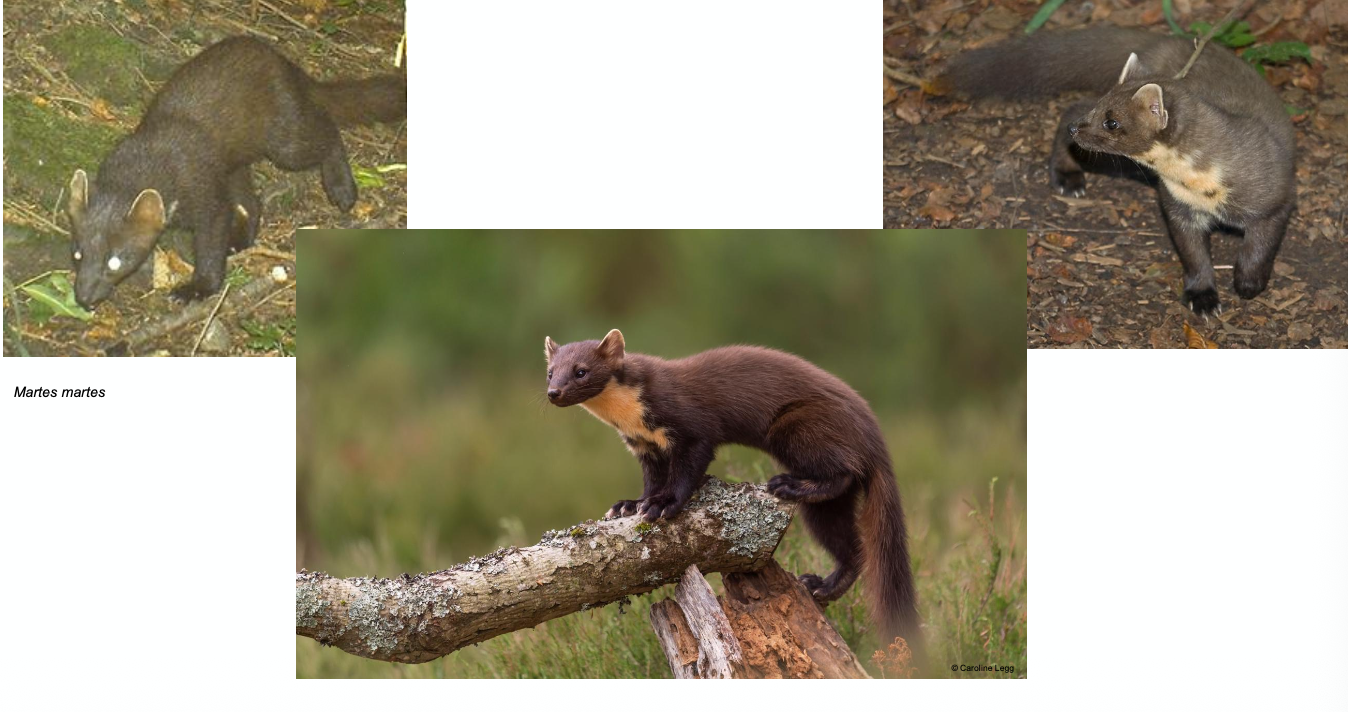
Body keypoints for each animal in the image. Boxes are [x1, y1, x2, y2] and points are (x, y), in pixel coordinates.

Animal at [67, 36, 405, 309]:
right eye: (78, 253)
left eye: (116, 259)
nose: (83, 297)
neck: (151, 153)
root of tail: (286, 64)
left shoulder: (204, 191)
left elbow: (212, 238)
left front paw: (194, 290)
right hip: (234, 164)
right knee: (252, 202)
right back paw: (238, 240)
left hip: (285, 140)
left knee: (328, 132)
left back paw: (342, 189)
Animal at [545, 329, 921, 653]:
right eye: (550, 372)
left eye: (581, 371)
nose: (554, 393)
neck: (631, 419)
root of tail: (874, 434)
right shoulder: (645, 447)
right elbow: (652, 480)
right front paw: (630, 504)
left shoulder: (692, 428)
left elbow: (687, 471)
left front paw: (663, 504)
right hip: (827, 509)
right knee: (851, 546)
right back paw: (822, 584)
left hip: (796, 425)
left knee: (842, 471)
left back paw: (788, 484)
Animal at [929, 24, 1296, 315]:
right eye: (1101, 106)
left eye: (1112, 121)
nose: (1078, 128)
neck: (1200, 187)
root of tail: (1165, 40)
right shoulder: (1176, 206)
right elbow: (1194, 257)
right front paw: (1203, 298)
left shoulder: (1275, 198)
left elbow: (1259, 247)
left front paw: (1248, 283)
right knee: (1067, 109)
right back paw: (1068, 177)